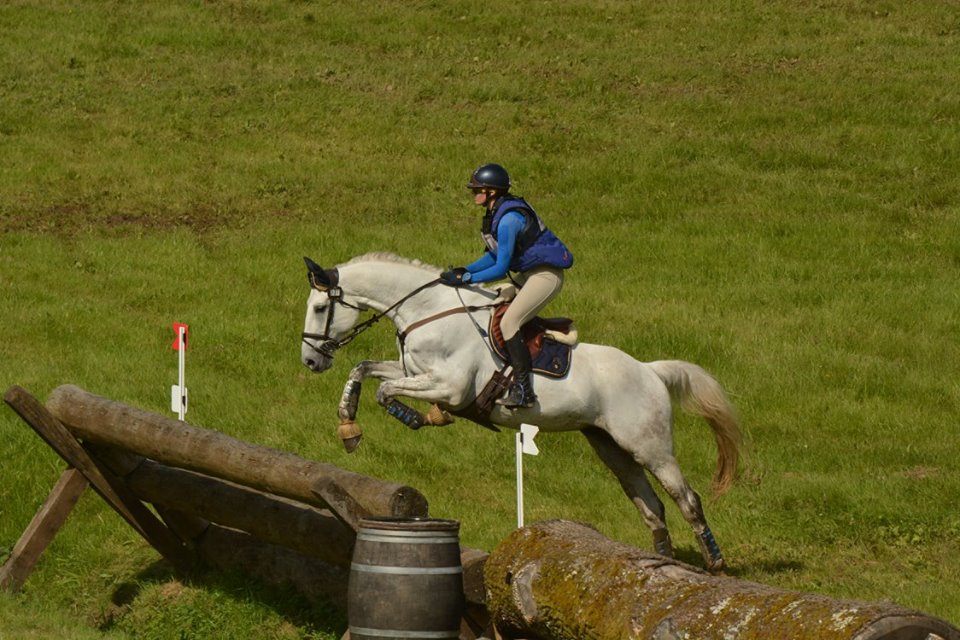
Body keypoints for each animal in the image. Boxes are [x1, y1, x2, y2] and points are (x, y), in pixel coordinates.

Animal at [300, 250, 744, 568]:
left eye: (320, 309)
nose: (309, 361)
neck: (427, 311)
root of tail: (650, 371)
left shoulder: (451, 386)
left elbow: (386, 391)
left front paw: (423, 417)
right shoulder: (414, 371)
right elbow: (364, 370)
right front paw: (348, 427)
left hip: (650, 446)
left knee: (687, 499)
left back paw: (714, 563)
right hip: (611, 447)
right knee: (651, 505)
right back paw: (659, 563)